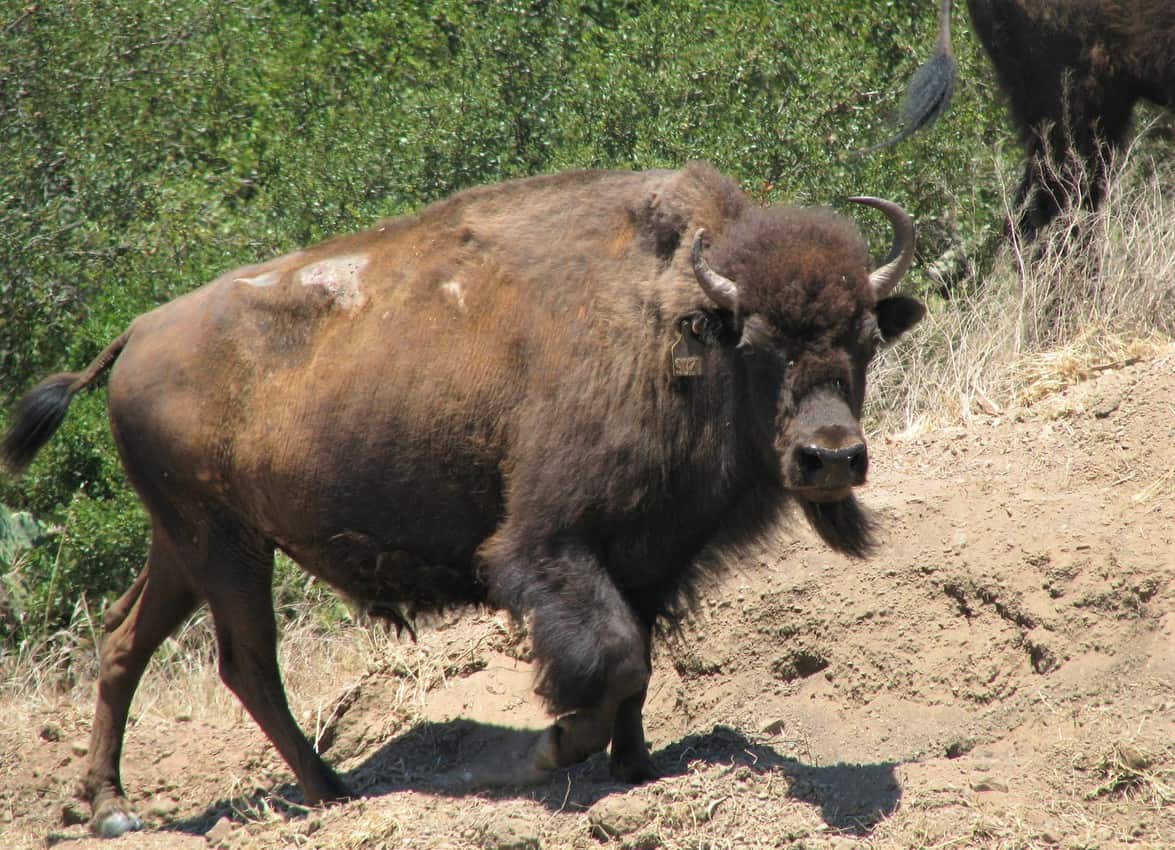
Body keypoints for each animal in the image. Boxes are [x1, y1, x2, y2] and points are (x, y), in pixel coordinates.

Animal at [2, 161, 925, 837]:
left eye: (864, 338)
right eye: (760, 342)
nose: (829, 456)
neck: (674, 327)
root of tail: (136, 334)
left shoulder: (651, 561)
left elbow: (638, 666)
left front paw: (636, 770)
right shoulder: (547, 547)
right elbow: (616, 659)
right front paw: (552, 749)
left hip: (187, 543)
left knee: (125, 640)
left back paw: (114, 808)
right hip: (222, 545)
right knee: (247, 661)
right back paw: (328, 791)